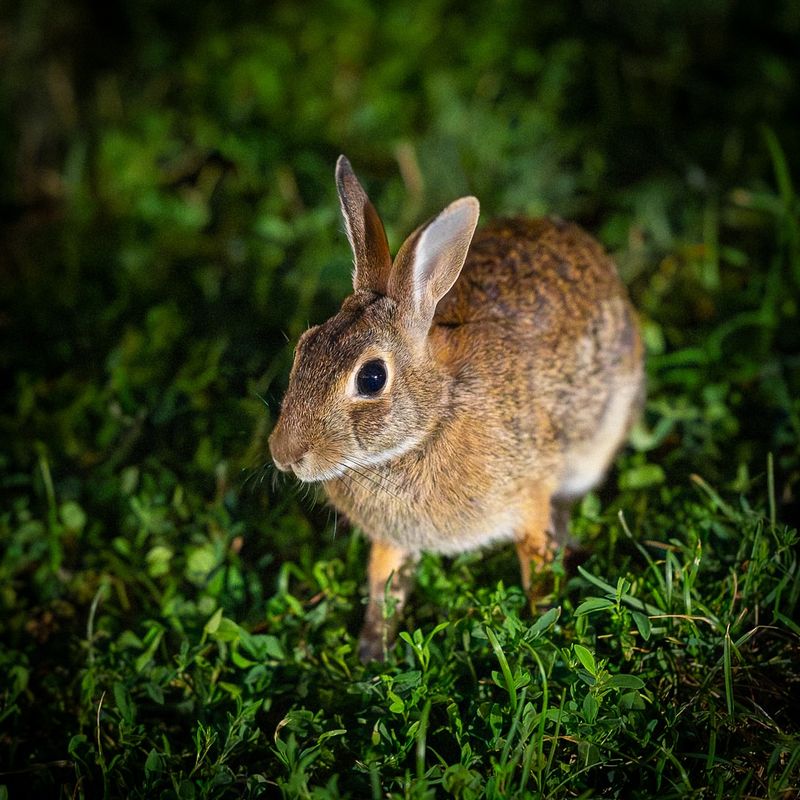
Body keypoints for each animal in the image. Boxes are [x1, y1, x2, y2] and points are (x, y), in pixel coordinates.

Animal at [269, 155, 644, 662]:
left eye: (371, 378)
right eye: (304, 348)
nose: (284, 454)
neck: (434, 417)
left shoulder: (527, 496)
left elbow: (536, 560)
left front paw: (542, 623)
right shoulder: (392, 541)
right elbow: (383, 583)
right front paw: (372, 652)